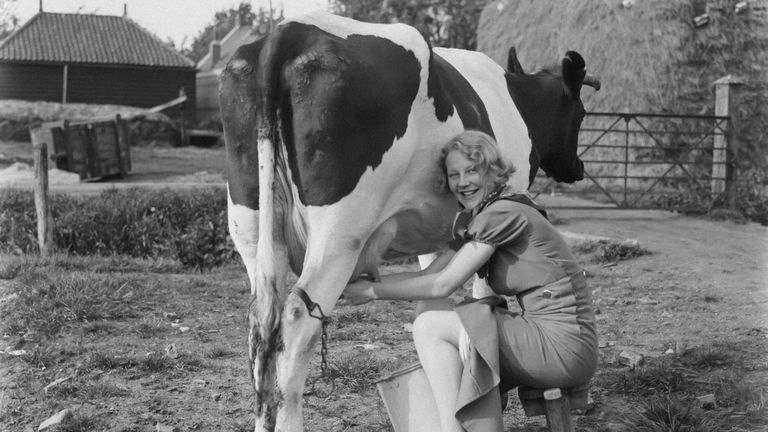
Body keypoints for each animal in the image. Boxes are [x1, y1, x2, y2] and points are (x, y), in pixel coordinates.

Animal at [219, 11, 599, 432]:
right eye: (581, 113)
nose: (578, 167)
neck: (516, 101)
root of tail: (289, 30)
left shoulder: (433, 235)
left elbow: (431, 293)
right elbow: (486, 295)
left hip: (251, 226)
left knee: (260, 326)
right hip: (339, 234)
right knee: (297, 320)